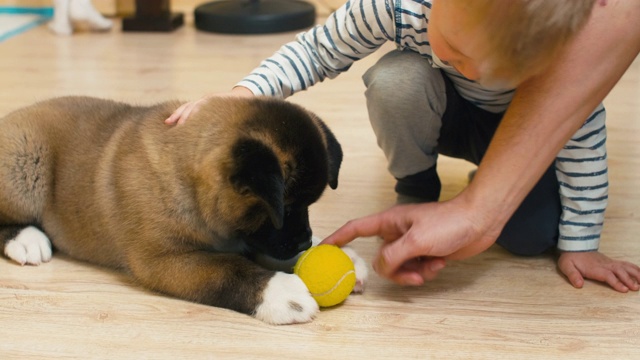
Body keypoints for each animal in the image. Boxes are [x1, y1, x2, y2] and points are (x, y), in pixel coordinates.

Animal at [1, 95, 364, 324]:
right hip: (25, 163)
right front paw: (280, 294)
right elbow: (227, 270)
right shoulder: (163, 261)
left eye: (306, 206)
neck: (186, 175)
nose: (305, 242)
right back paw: (27, 240)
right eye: (286, 208)